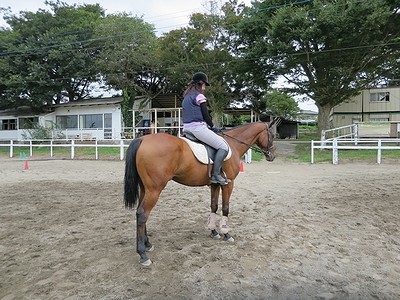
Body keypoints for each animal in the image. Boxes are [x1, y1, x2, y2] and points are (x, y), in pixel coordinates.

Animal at [124, 120, 276, 266]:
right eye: (272, 135)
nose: (272, 156)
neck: (233, 144)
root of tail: (142, 139)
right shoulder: (229, 184)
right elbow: (225, 208)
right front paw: (226, 234)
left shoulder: (215, 184)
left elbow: (214, 206)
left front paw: (214, 232)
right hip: (154, 189)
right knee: (143, 214)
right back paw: (143, 254)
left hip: (145, 188)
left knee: (139, 212)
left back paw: (147, 244)